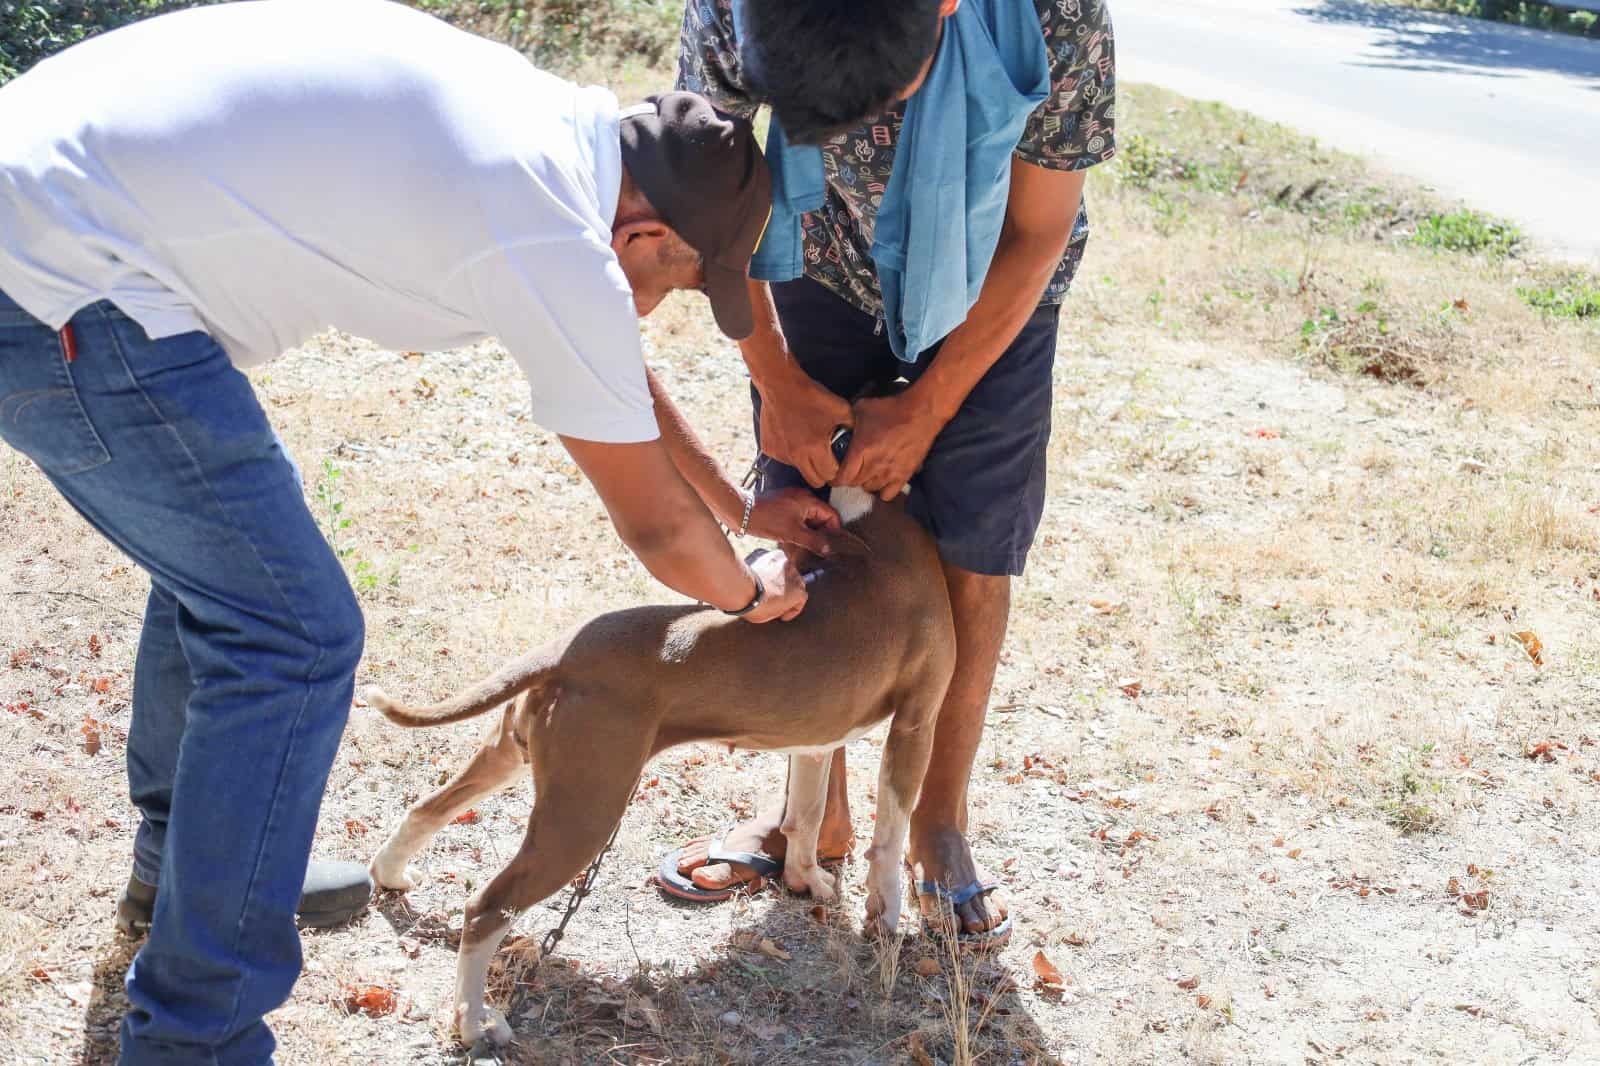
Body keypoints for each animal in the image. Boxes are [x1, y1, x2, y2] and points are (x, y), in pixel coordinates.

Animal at [366, 486, 947, 1043]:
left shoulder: (815, 740)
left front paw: (809, 882)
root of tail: (564, 653)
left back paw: (391, 875)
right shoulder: (916, 724)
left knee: (426, 808)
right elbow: (890, 836)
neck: (865, 523)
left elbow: (803, 818)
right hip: (582, 814)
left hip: (510, 756)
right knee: (486, 907)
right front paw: (887, 916)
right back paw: (474, 1023)